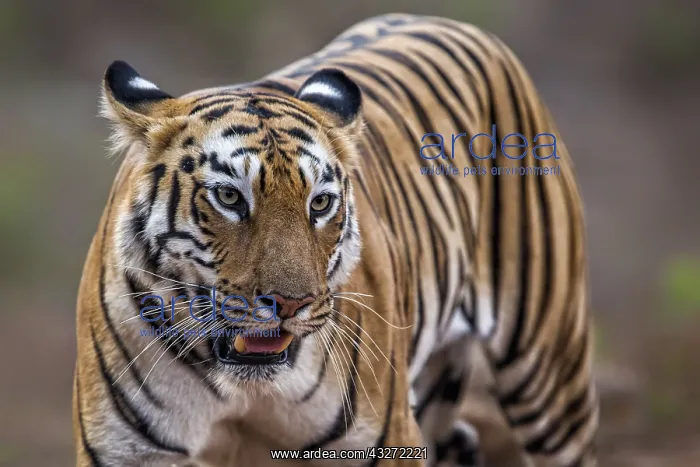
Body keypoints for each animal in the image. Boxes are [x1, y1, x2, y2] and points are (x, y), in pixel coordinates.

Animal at [73, 13, 598, 467]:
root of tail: (455, 23)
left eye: (321, 203)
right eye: (229, 196)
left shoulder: (384, 442)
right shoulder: (124, 452)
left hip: (549, 374)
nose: (290, 304)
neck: (243, 389)